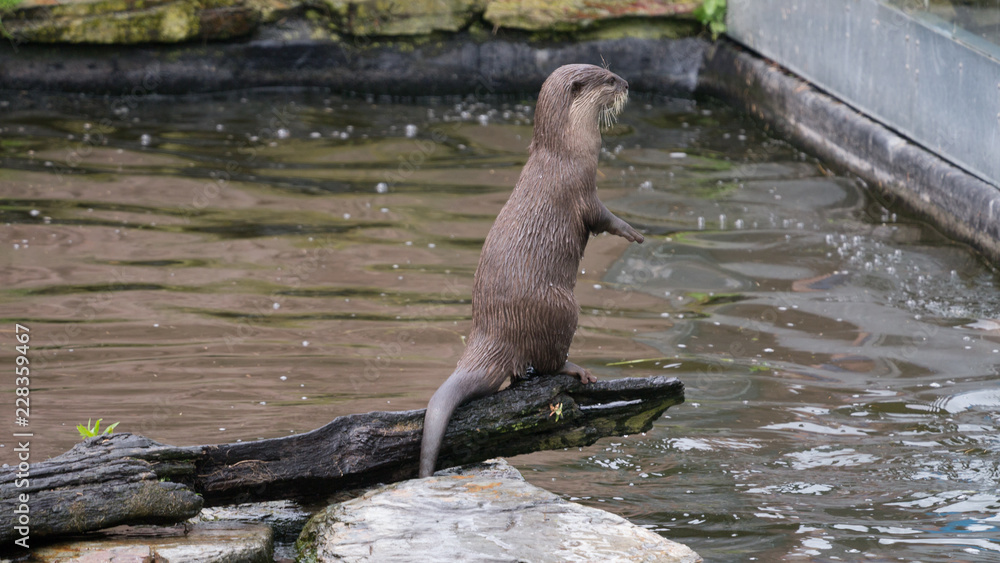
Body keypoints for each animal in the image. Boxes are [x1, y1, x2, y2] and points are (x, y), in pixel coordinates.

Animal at [419, 64, 644, 478]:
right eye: (607, 78)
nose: (626, 83)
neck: (565, 151)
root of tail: (493, 329)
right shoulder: (583, 189)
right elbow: (603, 218)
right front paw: (632, 231)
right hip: (561, 306)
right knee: (549, 362)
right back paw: (576, 370)